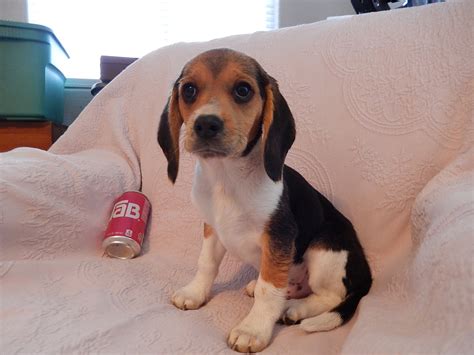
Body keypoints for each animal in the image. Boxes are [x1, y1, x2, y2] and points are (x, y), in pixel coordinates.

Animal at [157, 48, 372, 354]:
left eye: (243, 90)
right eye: (189, 90)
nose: (206, 123)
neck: (226, 177)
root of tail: (364, 271)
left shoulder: (279, 237)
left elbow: (268, 289)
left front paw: (253, 329)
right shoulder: (212, 229)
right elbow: (206, 264)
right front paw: (195, 293)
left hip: (324, 250)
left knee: (330, 295)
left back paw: (294, 308)